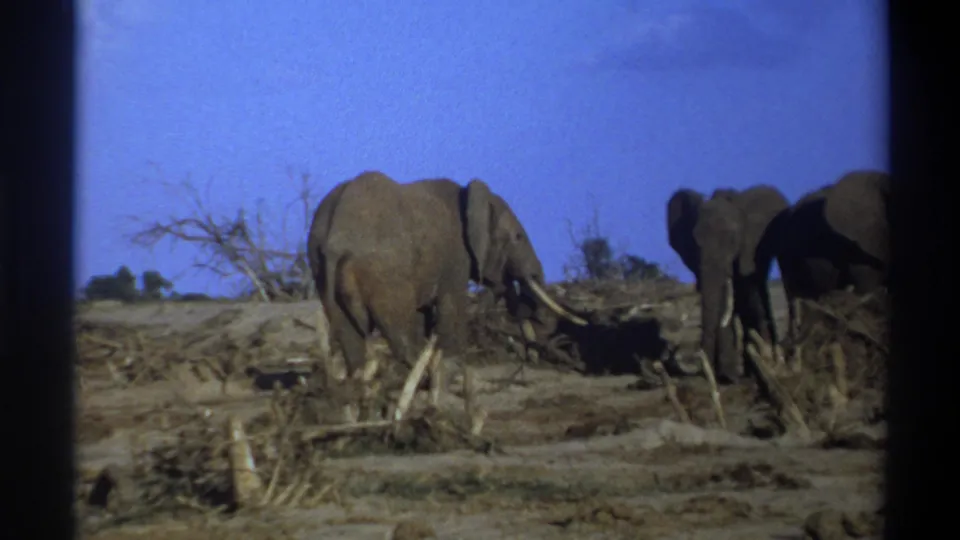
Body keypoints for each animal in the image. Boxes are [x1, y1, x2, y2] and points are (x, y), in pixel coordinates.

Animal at [307, 170, 588, 387]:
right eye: (518, 237)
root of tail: (335, 238)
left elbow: (422, 316)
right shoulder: (455, 255)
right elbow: (452, 305)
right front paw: (453, 367)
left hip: (321, 268)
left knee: (350, 335)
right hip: (383, 273)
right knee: (397, 330)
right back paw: (422, 376)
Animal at [667, 185, 790, 384]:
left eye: (732, 239)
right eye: (695, 239)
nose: (704, 370)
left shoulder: (748, 249)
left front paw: (729, 377)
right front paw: (727, 376)